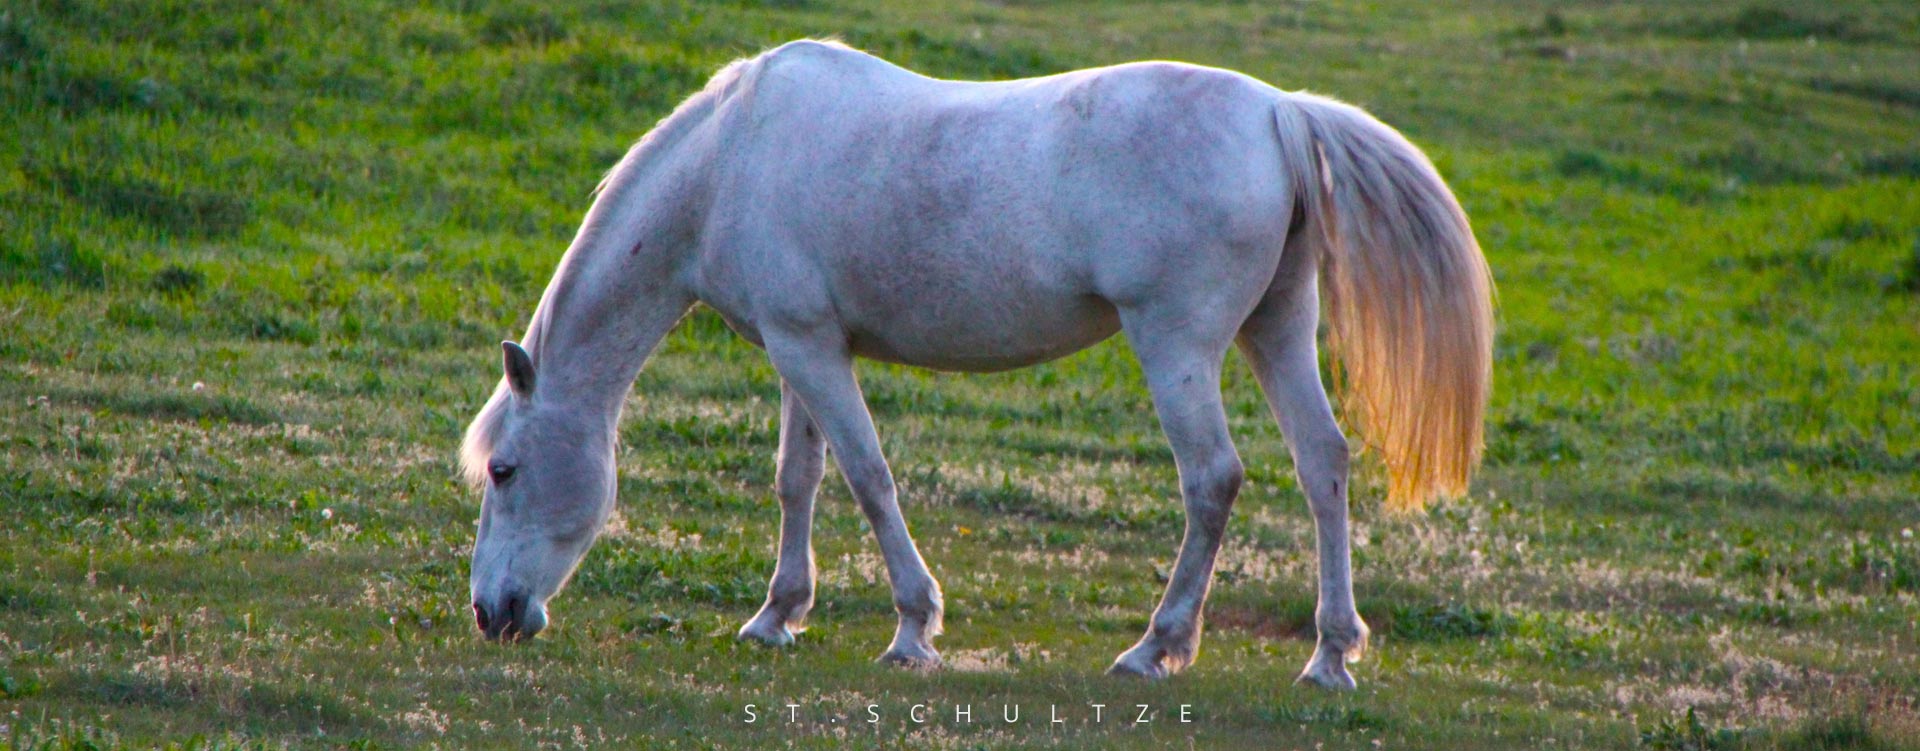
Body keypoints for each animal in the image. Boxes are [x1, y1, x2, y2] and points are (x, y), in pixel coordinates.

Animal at [459, 39, 1492, 690]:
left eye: (504, 470)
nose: (491, 612)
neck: (728, 160)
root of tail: (1281, 112)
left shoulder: (811, 348)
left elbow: (868, 477)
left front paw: (913, 628)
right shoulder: (802, 347)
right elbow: (798, 478)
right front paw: (776, 614)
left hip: (1177, 345)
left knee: (1213, 479)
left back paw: (1154, 648)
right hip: (1276, 327)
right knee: (1324, 464)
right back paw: (1330, 656)